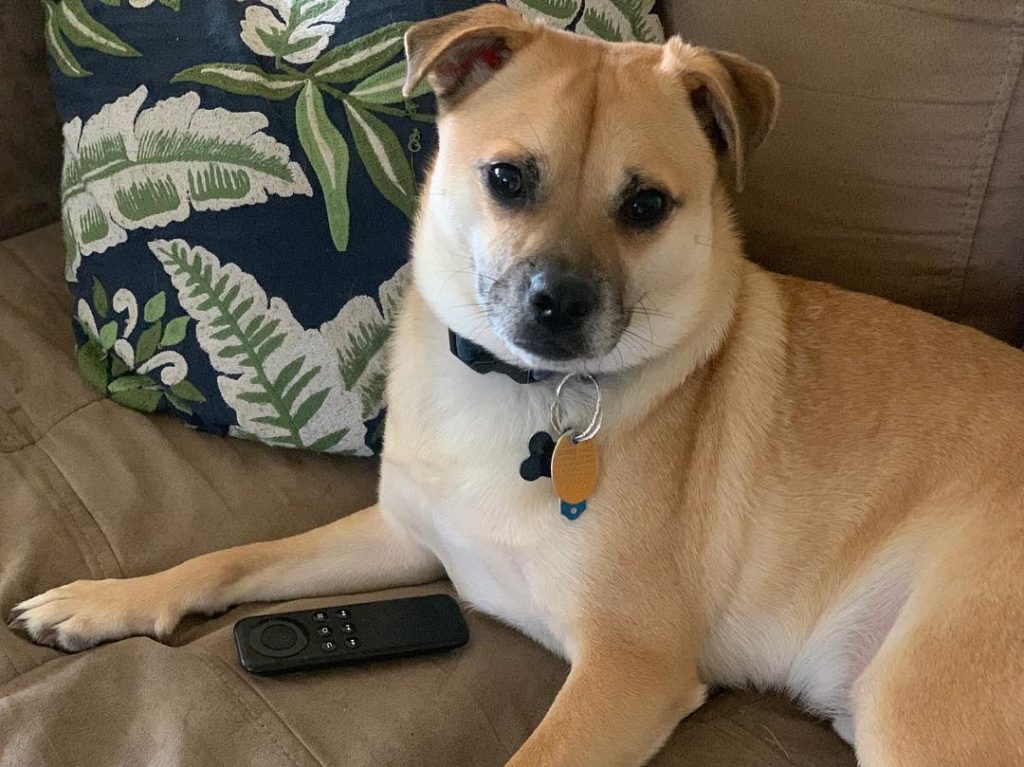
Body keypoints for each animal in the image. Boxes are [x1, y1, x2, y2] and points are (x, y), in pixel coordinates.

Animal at [9, 7, 1024, 765]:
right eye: (506, 177)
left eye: (647, 206)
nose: (557, 304)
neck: (522, 391)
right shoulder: (405, 535)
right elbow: (232, 557)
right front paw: (105, 599)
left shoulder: (626, 671)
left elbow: (533, 755)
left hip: (918, 700)